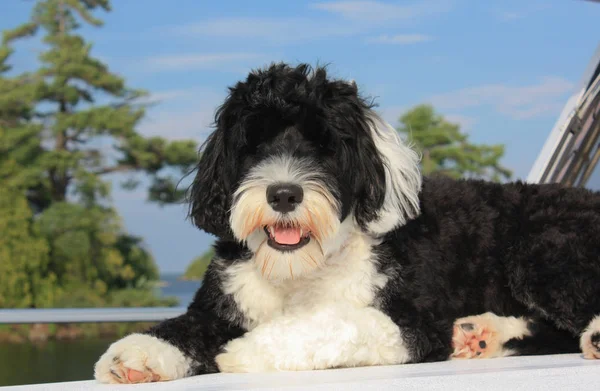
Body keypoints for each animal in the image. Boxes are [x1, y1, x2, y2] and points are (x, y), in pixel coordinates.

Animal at [92, 62, 600, 384]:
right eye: (252, 144)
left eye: (326, 146)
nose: (283, 194)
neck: (300, 272)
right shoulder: (221, 305)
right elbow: (184, 327)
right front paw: (135, 353)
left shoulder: (413, 322)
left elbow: (335, 323)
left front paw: (247, 351)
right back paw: (482, 336)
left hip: (543, 250)